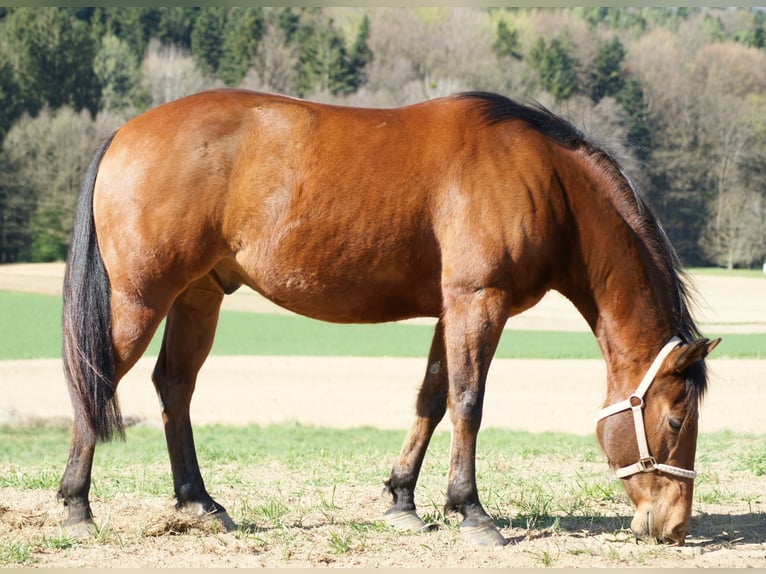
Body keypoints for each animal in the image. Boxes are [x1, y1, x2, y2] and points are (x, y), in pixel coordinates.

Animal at [58, 89, 720, 547]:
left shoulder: (452, 309)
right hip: (141, 299)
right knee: (96, 380)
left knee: (174, 385)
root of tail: (125, 131)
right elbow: (468, 402)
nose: (673, 524)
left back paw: (199, 501)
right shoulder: (479, 302)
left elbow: (431, 399)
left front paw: (403, 500)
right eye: (676, 416)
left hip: (199, 295)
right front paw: (470, 511)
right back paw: (76, 505)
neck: (546, 179)